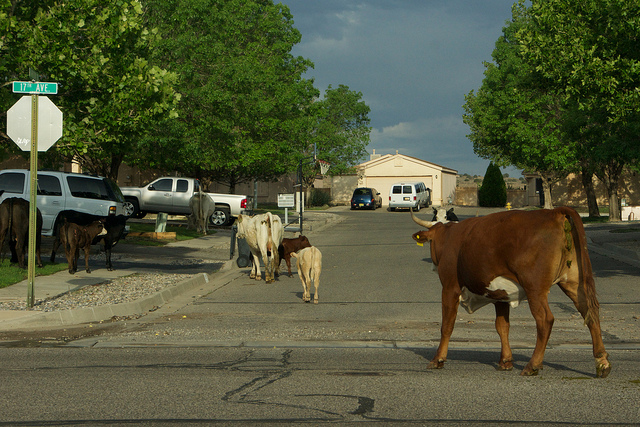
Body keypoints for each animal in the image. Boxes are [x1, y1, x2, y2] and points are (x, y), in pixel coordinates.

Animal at [410, 207, 611, 378]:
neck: (450, 236)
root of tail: (553, 212)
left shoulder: (449, 287)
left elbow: (447, 325)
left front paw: (438, 359)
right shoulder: (500, 295)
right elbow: (502, 327)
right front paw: (506, 361)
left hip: (535, 288)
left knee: (545, 320)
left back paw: (532, 365)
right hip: (574, 282)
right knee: (590, 313)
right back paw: (602, 362)